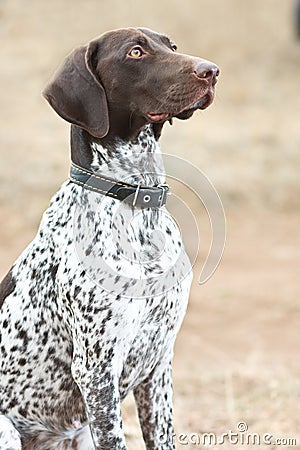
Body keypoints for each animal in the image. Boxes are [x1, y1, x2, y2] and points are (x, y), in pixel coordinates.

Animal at [0, 29, 218, 450]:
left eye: (172, 46)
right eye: (135, 52)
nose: (212, 70)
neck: (136, 206)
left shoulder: (159, 363)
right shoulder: (97, 369)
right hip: (7, 429)